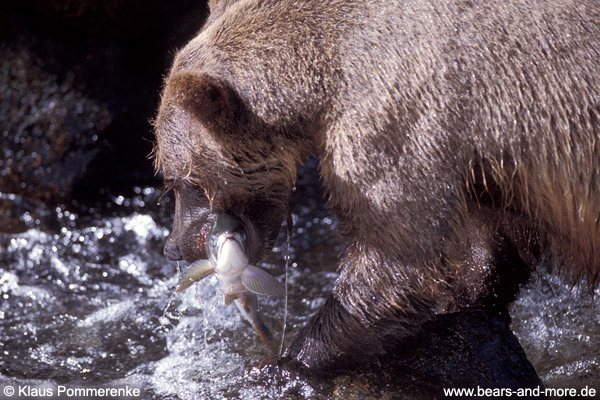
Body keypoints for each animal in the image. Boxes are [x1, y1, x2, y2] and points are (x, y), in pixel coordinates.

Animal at [154, 0, 600, 374]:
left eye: (178, 181)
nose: (173, 246)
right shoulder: (480, 157)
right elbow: (490, 243)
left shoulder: (397, 116)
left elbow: (397, 259)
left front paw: (292, 360)